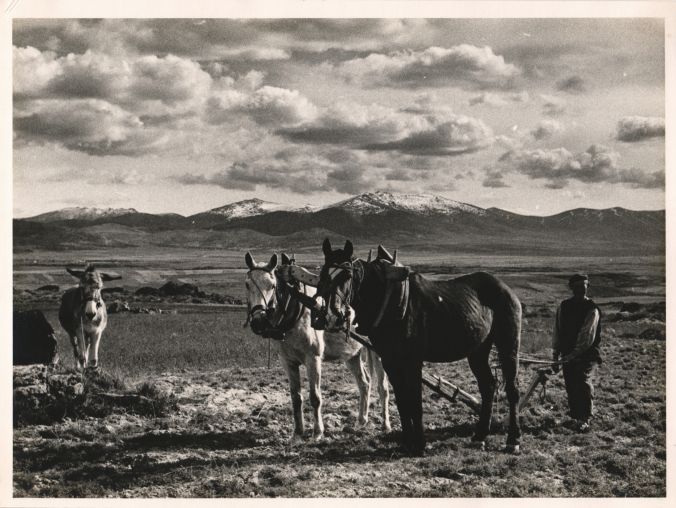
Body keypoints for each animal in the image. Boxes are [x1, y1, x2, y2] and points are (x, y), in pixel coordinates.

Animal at [244, 252, 390, 442]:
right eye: (247, 284)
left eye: (272, 285)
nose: (258, 321)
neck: (295, 311)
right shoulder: (288, 362)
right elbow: (296, 397)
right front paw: (297, 433)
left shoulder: (313, 358)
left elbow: (315, 397)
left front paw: (318, 432)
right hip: (352, 353)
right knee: (364, 383)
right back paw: (361, 421)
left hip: (377, 351)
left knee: (383, 387)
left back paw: (385, 425)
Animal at [316, 240, 524, 454]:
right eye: (323, 274)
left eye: (347, 275)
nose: (331, 317)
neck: (387, 301)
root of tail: (506, 289)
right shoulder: (390, 360)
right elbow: (402, 401)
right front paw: (407, 441)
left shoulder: (413, 361)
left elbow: (415, 402)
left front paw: (420, 445)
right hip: (478, 350)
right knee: (488, 386)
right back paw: (480, 436)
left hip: (508, 345)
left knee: (512, 389)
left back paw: (513, 439)